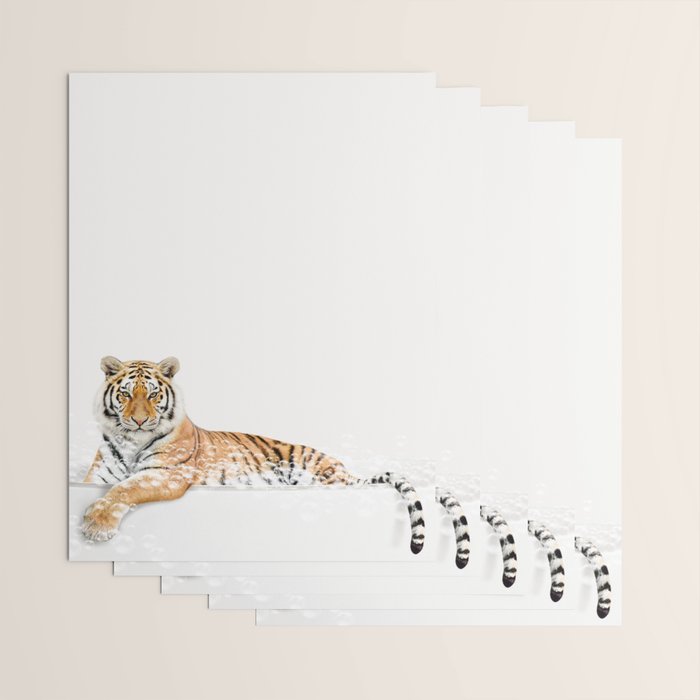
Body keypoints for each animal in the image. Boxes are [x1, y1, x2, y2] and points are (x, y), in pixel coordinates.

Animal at [81, 356, 465, 561]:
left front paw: (95, 525)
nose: (138, 421)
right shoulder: (98, 476)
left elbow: (126, 489)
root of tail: (345, 468)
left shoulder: (167, 473)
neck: (131, 442)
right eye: (126, 394)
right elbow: (111, 485)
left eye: (153, 395)